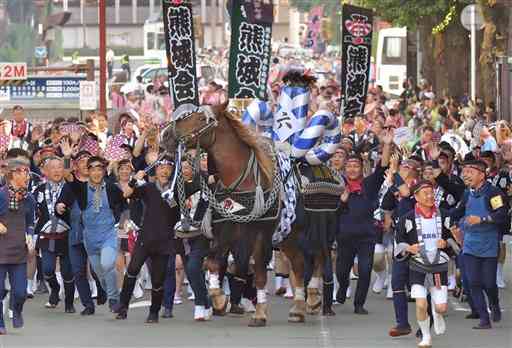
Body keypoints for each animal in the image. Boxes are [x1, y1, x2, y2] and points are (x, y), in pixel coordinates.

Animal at [164, 103, 324, 326]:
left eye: (201, 119)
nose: (165, 134)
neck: (240, 181)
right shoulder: (227, 228)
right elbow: (214, 263)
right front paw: (219, 300)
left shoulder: (260, 233)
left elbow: (258, 273)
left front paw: (259, 313)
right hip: (286, 235)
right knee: (299, 263)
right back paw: (298, 309)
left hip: (310, 231)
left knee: (316, 257)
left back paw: (313, 298)